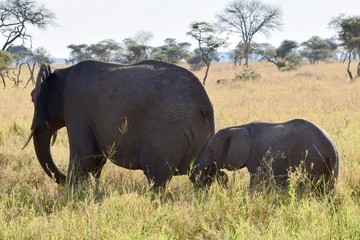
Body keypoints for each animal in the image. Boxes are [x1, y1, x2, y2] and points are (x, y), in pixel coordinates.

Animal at [23, 60, 214, 191]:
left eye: (32, 98)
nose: (62, 180)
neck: (62, 72)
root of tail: (204, 105)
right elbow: (96, 160)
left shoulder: (76, 108)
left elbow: (83, 159)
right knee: (199, 178)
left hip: (168, 135)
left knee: (157, 178)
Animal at [193, 119, 338, 194]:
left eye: (210, 151)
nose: (223, 179)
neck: (239, 127)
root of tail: (333, 148)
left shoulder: (254, 156)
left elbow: (257, 179)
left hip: (313, 159)